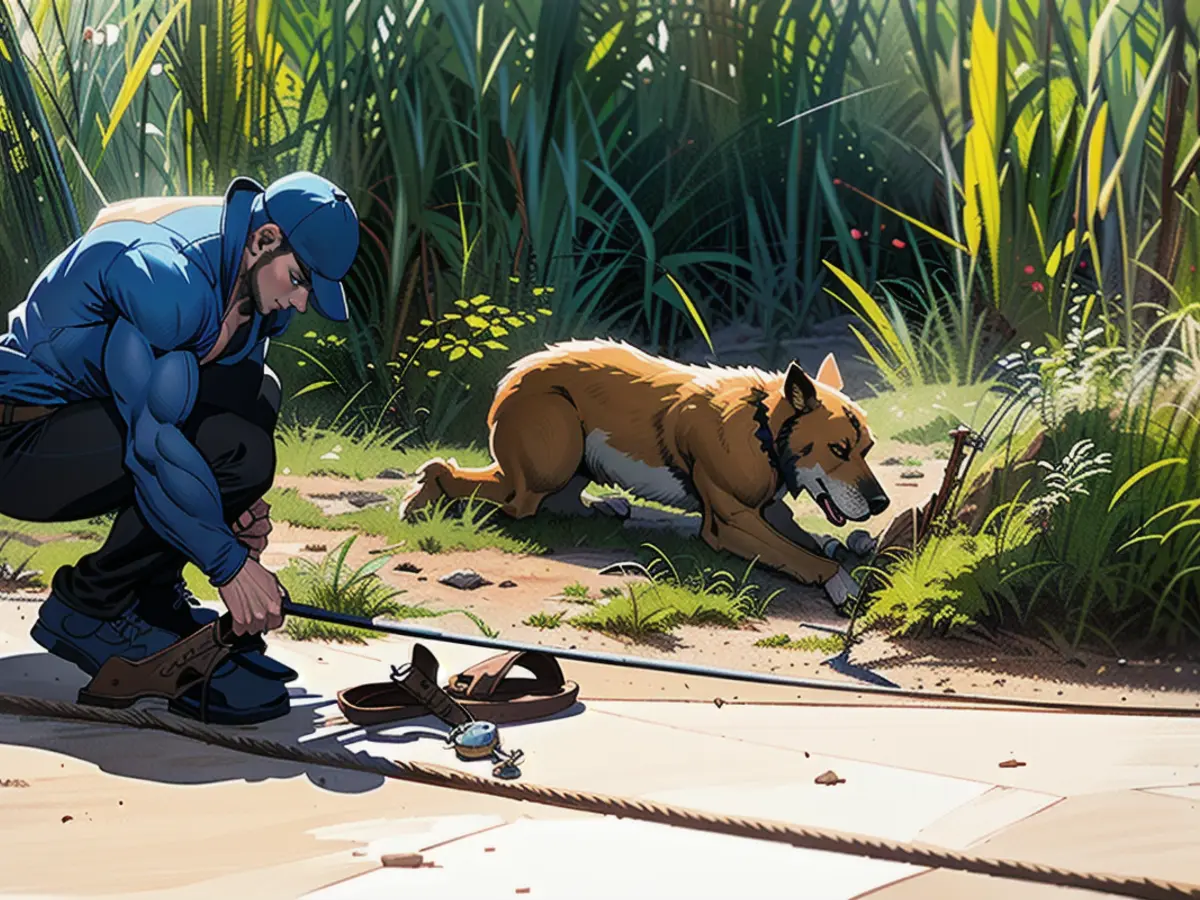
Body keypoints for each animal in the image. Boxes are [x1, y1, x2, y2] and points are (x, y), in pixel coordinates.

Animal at [403, 340, 892, 614]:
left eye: (867, 450)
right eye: (838, 450)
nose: (881, 504)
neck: (764, 427)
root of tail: (513, 374)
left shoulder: (766, 510)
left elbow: (806, 539)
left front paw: (838, 546)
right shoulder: (730, 524)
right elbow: (804, 558)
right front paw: (842, 583)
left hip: (576, 462)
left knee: (562, 501)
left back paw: (607, 506)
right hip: (553, 460)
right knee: (489, 490)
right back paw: (421, 495)